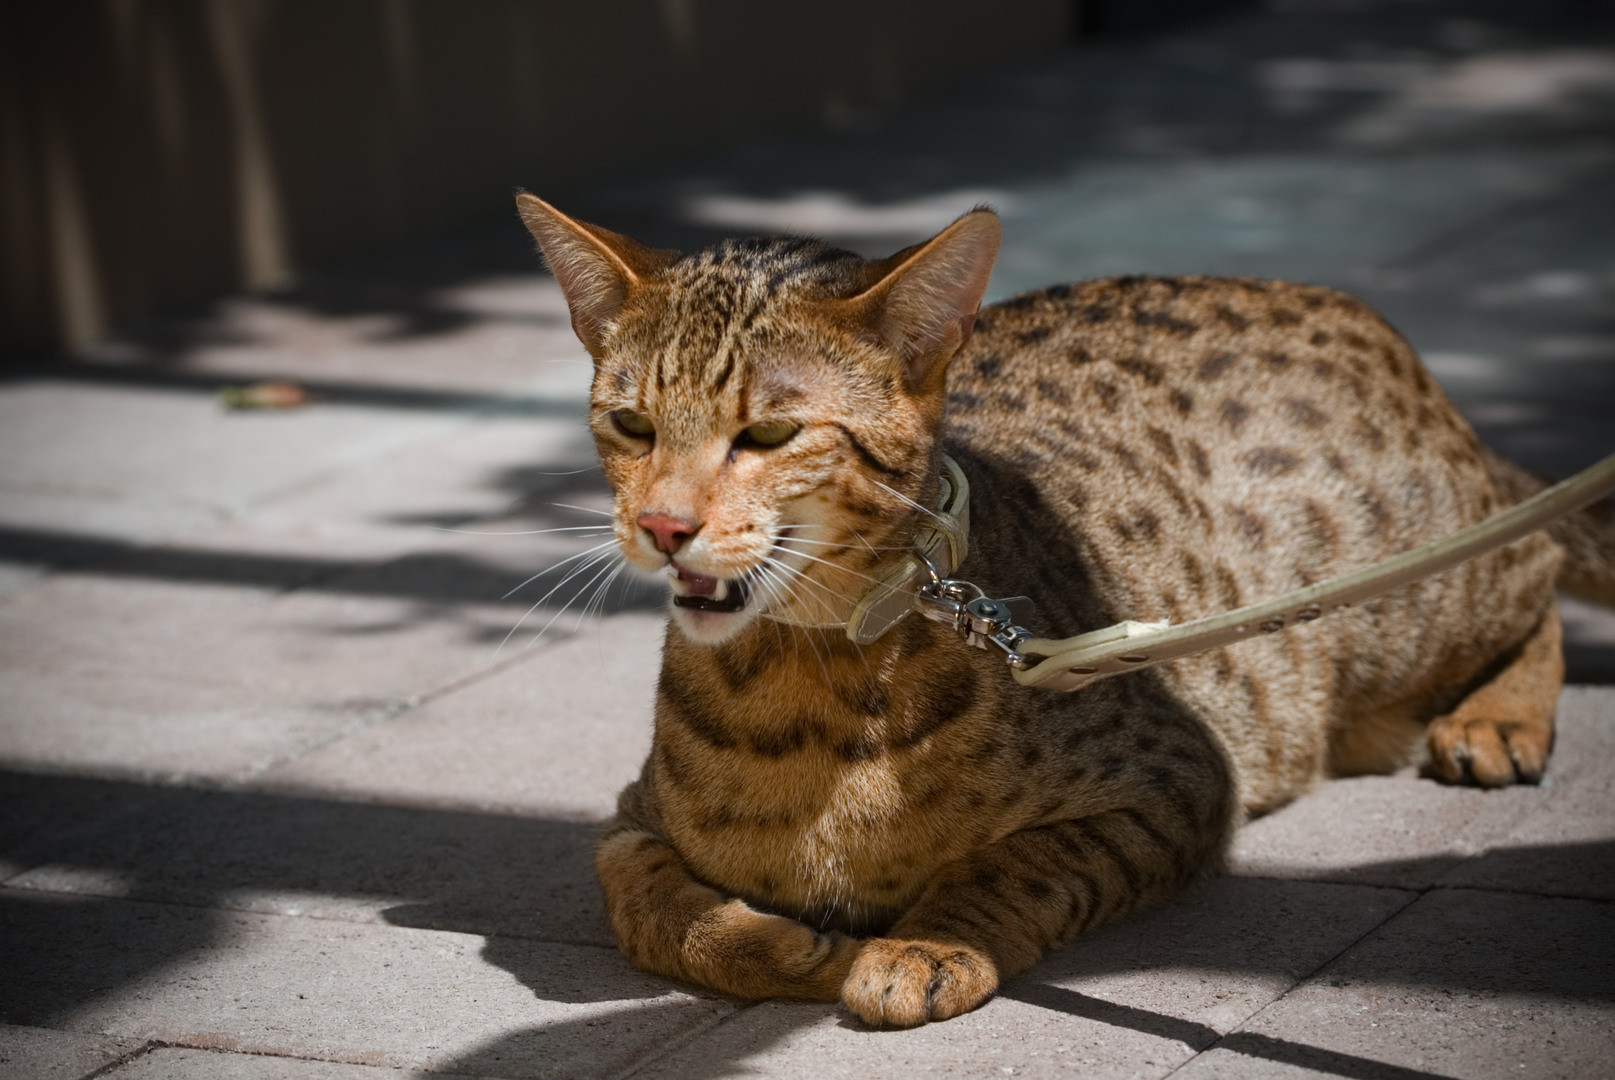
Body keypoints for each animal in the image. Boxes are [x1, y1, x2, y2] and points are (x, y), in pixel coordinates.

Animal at [510, 196, 1608, 1026]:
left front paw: (926, 942)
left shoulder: (1178, 778)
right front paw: (774, 945)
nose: (662, 525)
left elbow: (1020, 861)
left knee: (1537, 555)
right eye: (631, 424)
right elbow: (648, 904)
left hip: (1406, 592)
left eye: (769, 433)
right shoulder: (627, 821)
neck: (811, 675)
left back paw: (1495, 717)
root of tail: (1342, 307)